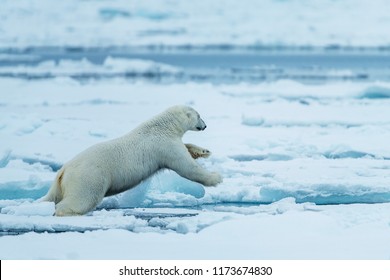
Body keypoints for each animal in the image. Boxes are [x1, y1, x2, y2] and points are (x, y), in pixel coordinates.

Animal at [41, 105, 222, 217]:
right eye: (199, 116)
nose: (205, 125)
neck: (163, 126)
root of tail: (63, 171)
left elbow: (187, 148)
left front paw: (204, 151)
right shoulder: (164, 145)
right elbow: (186, 166)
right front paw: (216, 178)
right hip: (89, 177)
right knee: (82, 198)